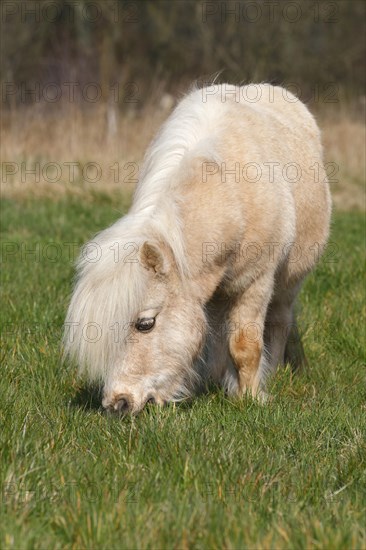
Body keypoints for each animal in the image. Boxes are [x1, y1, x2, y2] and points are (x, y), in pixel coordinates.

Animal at [63, 84, 332, 414]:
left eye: (145, 324)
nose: (118, 404)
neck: (230, 199)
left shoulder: (256, 283)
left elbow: (246, 345)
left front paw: (250, 396)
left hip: (288, 282)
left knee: (280, 318)